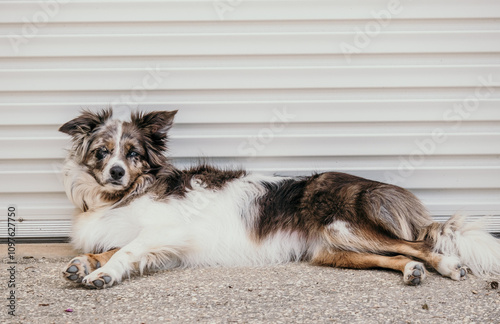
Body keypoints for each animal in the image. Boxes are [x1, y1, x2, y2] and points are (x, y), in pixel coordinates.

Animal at [59, 109, 500, 288]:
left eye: (133, 153)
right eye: (103, 151)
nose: (116, 172)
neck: (124, 193)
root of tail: (366, 183)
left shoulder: (165, 230)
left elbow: (124, 252)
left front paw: (102, 274)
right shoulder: (156, 240)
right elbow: (110, 248)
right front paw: (83, 264)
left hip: (346, 227)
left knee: (421, 244)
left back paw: (448, 265)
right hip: (332, 250)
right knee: (395, 256)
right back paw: (411, 272)